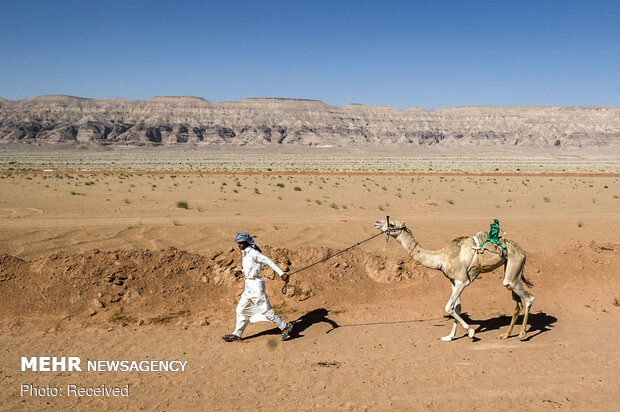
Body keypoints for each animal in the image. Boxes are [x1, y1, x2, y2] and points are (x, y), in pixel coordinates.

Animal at [376, 219, 536, 342]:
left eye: (391, 223)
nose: (377, 223)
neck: (442, 257)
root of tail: (522, 251)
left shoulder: (462, 281)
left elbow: (449, 307)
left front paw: (471, 332)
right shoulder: (453, 282)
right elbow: (456, 307)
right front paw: (449, 337)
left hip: (514, 266)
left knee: (529, 298)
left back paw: (522, 333)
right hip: (511, 271)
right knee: (517, 304)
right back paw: (506, 335)